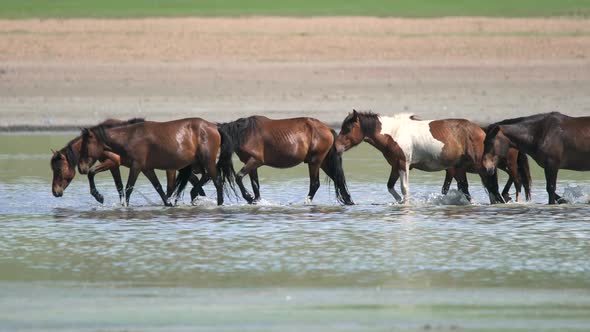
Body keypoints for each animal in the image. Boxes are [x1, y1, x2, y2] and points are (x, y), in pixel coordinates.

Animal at [77, 118, 235, 206]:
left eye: (85, 146)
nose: (81, 168)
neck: (129, 138)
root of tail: (215, 127)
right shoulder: (146, 169)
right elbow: (158, 188)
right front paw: (168, 204)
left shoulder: (136, 166)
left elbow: (128, 188)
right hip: (198, 164)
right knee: (205, 177)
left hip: (206, 161)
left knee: (217, 181)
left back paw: (219, 204)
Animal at [219, 116, 354, 205]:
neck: (246, 133)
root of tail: (327, 129)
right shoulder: (251, 163)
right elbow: (255, 185)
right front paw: (256, 200)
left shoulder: (255, 161)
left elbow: (239, 177)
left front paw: (249, 197)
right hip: (324, 162)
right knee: (338, 179)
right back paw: (349, 201)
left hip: (314, 162)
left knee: (315, 183)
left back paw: (306, 202)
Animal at [336, 110, 506, 204]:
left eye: (348, 128)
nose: (336, 147)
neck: (394, 133)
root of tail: (481, 131)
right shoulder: (395, 166)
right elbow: (390, 186)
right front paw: (400, 202)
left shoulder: (403, 164)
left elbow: (404, 188)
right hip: (459, 169)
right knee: (468, 189)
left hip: (480, 168)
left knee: (491, 187)